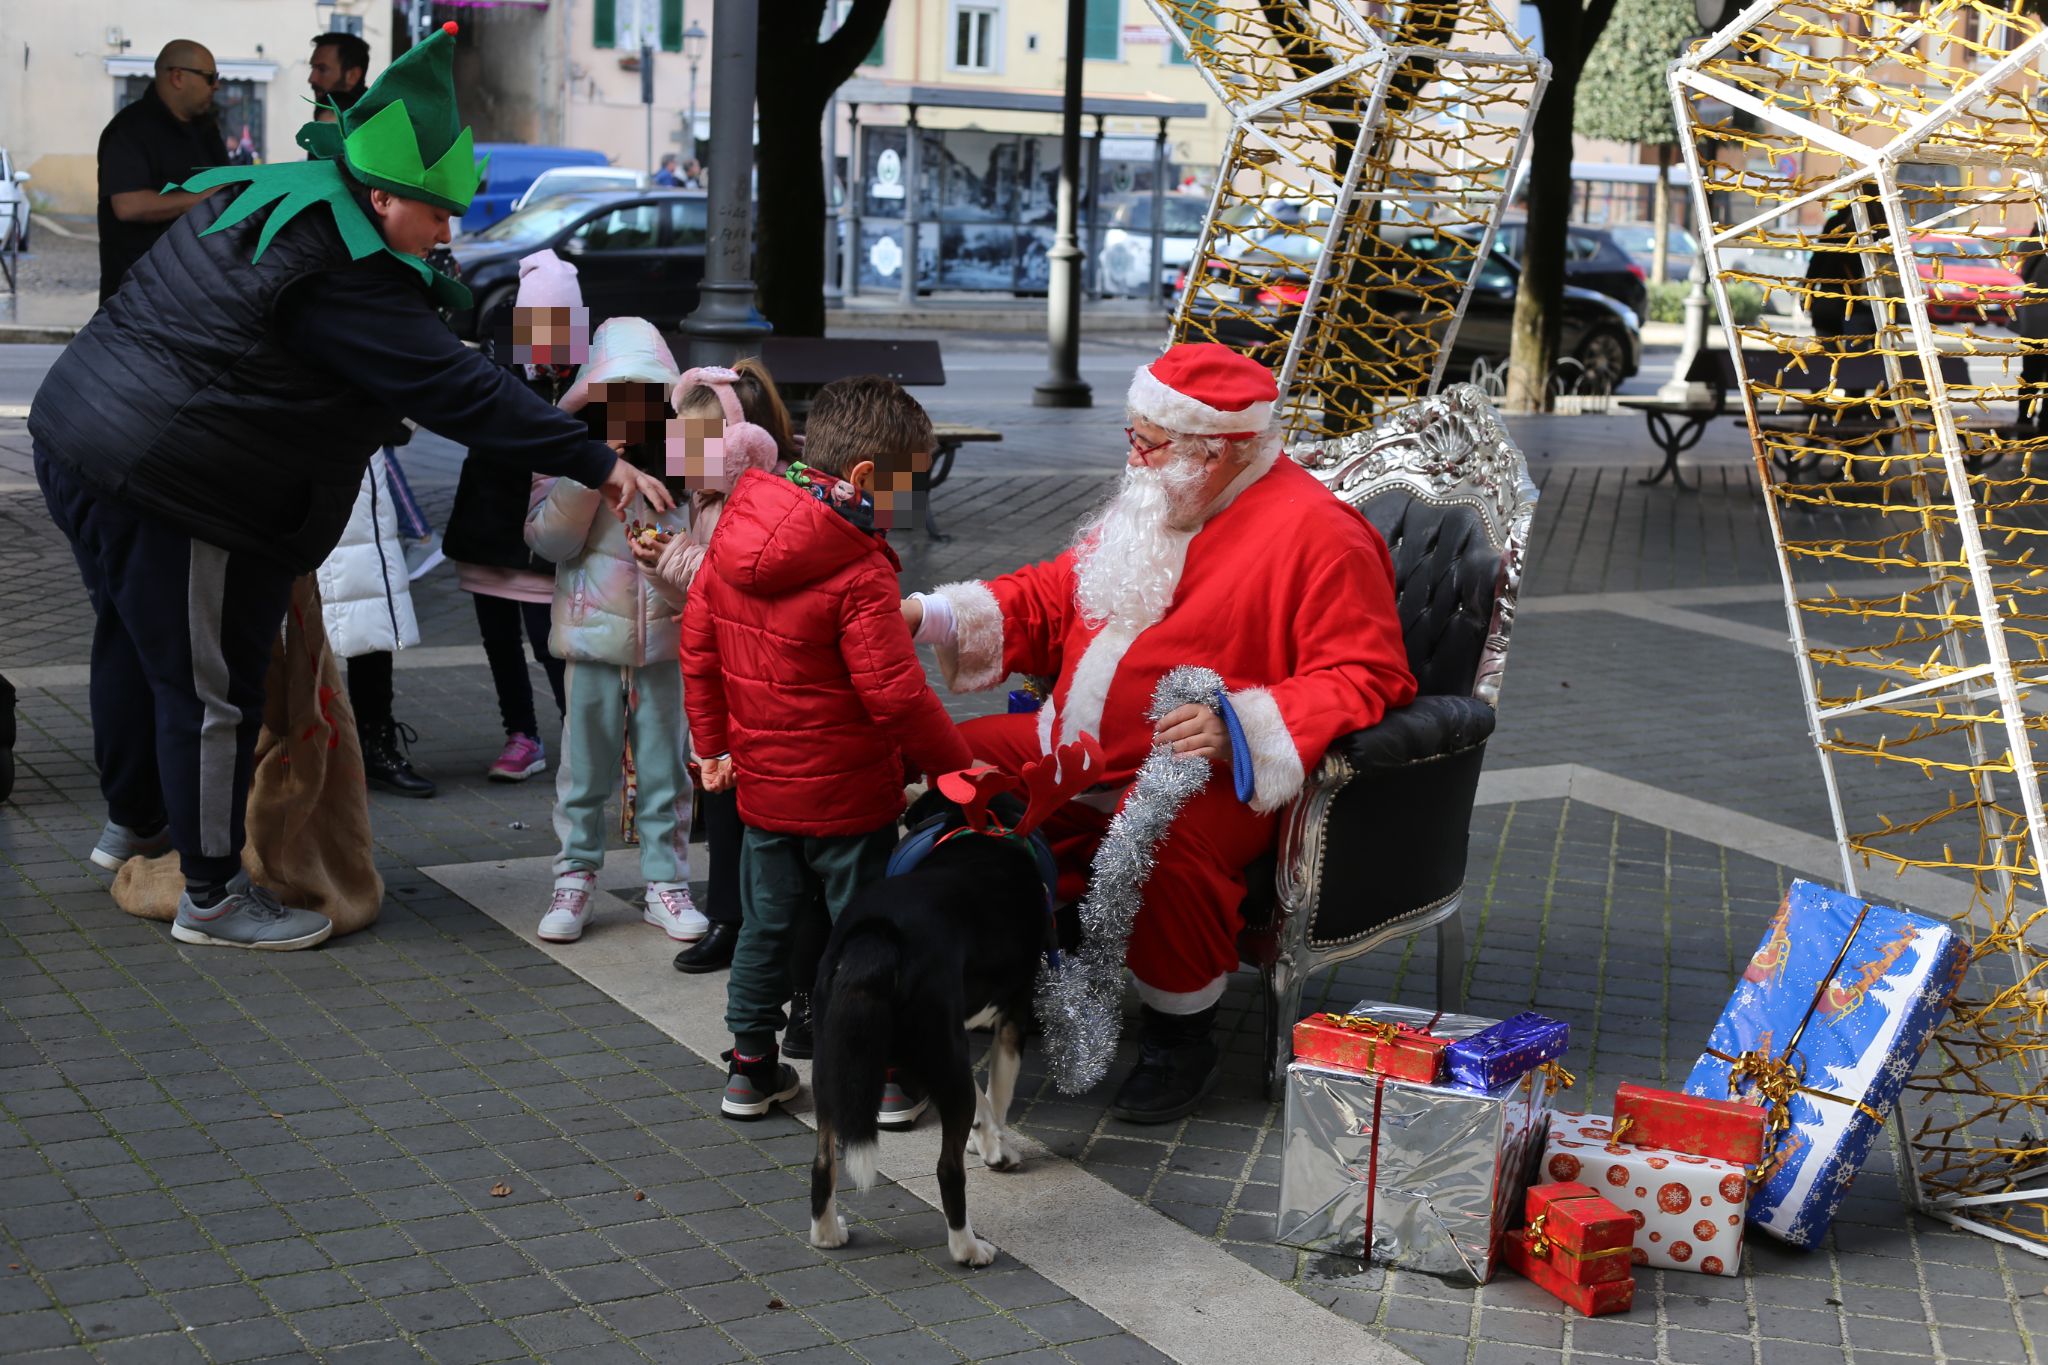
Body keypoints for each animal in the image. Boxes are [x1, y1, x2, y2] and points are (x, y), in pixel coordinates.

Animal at [802, 740, 1105, 1268]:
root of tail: (877, 940)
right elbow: (998, 1093)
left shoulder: (952, 1037)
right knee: (947, 1171)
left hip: (834, 1060)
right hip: (929, 1047)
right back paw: (968, 1248)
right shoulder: (1009, 1017)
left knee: (823, 1161)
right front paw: (996, 1148)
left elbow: (984, 1098)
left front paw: (985, 1138)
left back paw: (828, 1233)